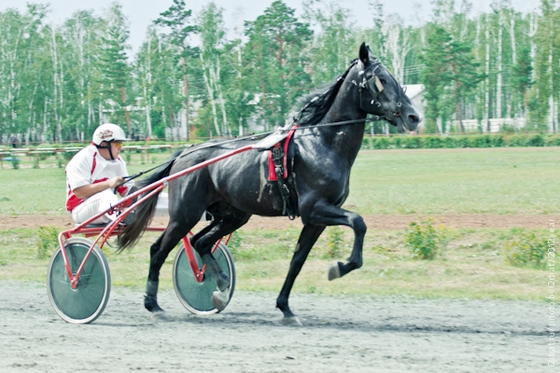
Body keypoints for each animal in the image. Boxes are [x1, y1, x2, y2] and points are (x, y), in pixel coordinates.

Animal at [118, 42, 420, 322]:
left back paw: (221, 285)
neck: (322, 143)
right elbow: (358, 222)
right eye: (380, 79)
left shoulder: (316, 219)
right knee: (159, 250)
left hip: (233, 214)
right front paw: (339, 267)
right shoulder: (314, 208)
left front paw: (285, 307)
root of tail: (184, 153)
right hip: (185, 213)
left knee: (200, 243)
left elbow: (297, 260)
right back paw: (153, 304)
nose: (414, 117)